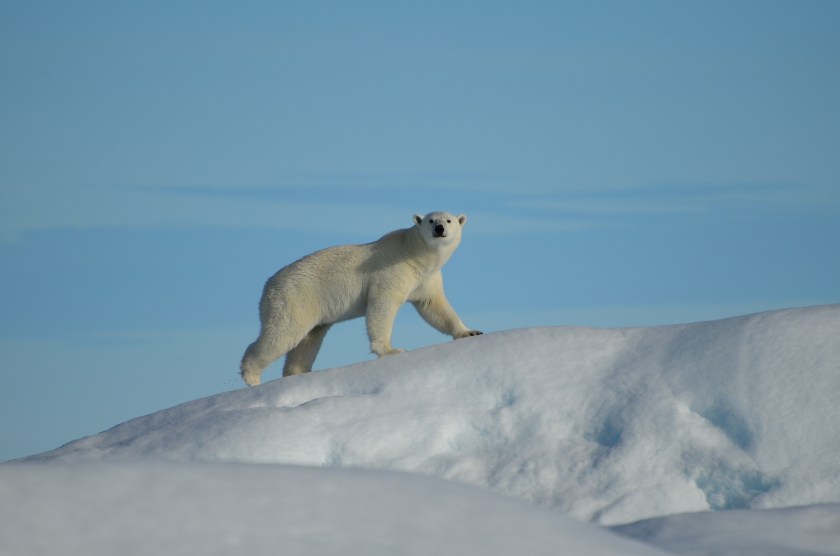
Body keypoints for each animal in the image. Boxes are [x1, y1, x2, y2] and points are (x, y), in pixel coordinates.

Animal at [240, 211, 483, 386]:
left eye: (449, 220)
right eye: (431, 220)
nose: (439, 228)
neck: (414, 253)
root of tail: (268, 285)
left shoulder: (426, 279)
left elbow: (435, 308)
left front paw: (470, 332)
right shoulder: (391, 271)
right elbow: (382, 305)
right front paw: (391, 350)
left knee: (308, 340)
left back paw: (298, 373)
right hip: (295, 298)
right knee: (283, 334)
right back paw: (252, 378)